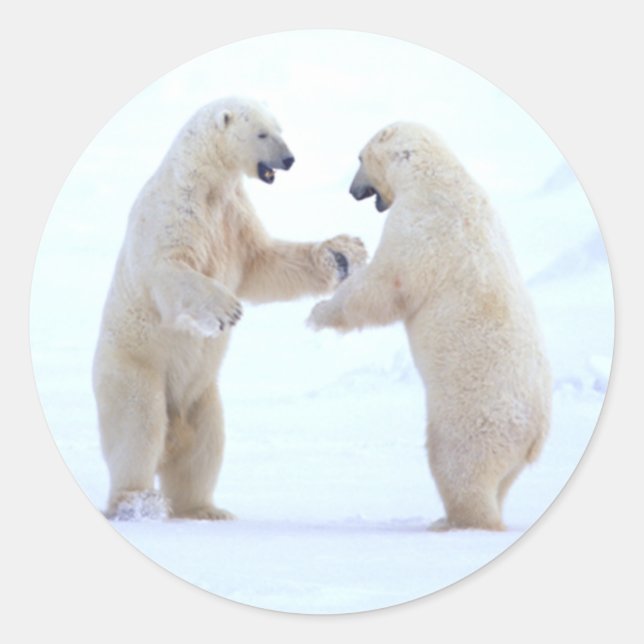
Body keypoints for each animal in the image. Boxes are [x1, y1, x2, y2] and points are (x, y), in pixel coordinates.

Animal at [93, 97, 367, 521]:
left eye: (280, 129)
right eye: (262, 133)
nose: (289, 159)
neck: (206, 182)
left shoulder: (233, 216)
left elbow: (265, 262)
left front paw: (342, 254)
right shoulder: (174, 212)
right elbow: (167, 268)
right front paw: (226, 310)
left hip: (201, 393)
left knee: (205, 444)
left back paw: (205, 509)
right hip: (134, 367)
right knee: (139, 427)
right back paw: (138, 501)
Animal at [308, 122, 551, 531]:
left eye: (359, 158)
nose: (352, 190)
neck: (435, 176)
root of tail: (535, 433)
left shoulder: (420, 224)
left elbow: (387, 284)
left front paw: (318, 312)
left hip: (474, 418)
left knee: (459, 466)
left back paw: (454, 522)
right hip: (514, 448)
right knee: (503, 481)